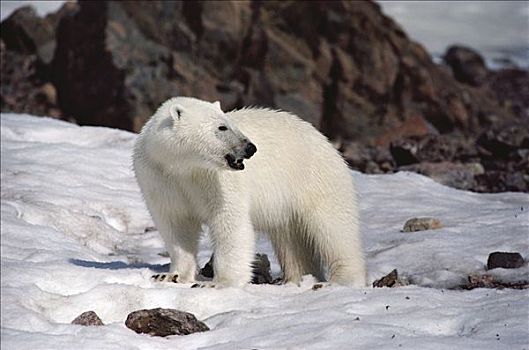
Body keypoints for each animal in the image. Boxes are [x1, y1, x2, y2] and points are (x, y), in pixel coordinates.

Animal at [132, 96, 366, 288]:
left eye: (231, 124)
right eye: (222, 127)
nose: (250, 147)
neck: (183, 166)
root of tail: (327, 142)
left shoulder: (215, 181)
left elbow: (229, 221)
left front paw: (218, 283)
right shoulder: (160, 178)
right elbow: (176, 225)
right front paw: (170, 276)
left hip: (316, 178)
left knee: (334, 228)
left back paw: (341, 279)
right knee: (291, 241)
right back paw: (298, 278)